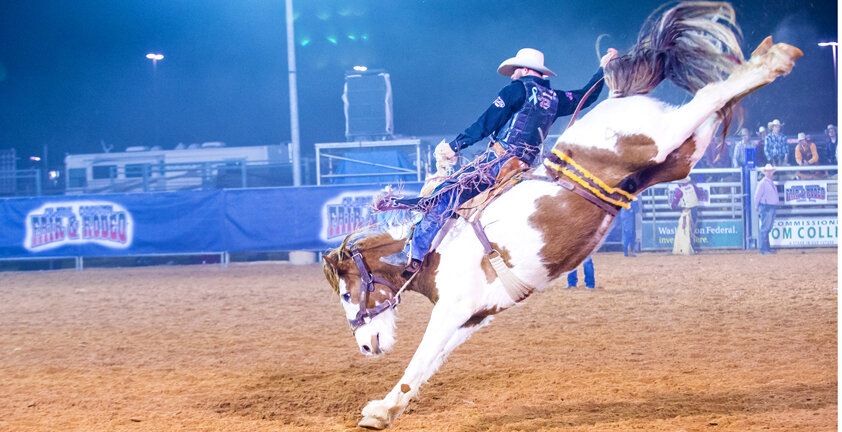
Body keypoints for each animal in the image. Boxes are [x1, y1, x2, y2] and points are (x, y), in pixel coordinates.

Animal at [318, 2, 796, 428]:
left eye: (346, 294)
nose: (365, 348)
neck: (434, 251)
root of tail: (618, 98)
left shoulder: (452, 309)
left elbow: (419, 360)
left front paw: (379, 409)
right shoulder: (472, 318)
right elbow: (431, 363)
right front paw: (386, 411)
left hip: (657, 140)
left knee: (710, 95)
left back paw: (775, 59)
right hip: (674, 156)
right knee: (709, 110)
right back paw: (765, 57)